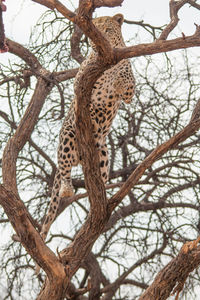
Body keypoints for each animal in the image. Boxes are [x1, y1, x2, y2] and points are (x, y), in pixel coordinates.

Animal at [40, 13, 135, 241]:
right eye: (95, 30)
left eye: (108, 30)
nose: (97, 43)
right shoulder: (81, 85)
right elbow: (85, 98)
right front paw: (93, 113)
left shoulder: (129, 91)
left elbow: (126, 78)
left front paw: (119, 77)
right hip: (67, 138)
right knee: (64, 171)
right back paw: (67, 189)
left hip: (103, 153)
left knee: (97, 182)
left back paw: (100, 200)